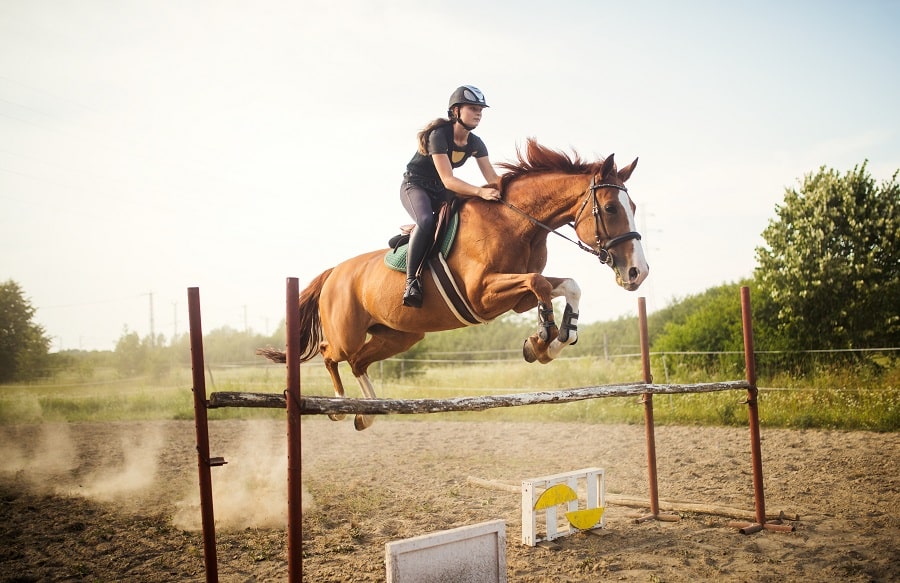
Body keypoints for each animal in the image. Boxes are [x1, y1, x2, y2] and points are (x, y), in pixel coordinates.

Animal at [261, 138, 649, 430]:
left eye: (632, 206)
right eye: (611, 208)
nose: (638, 272)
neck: (516, 224)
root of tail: (334, 272)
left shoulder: (515, 300)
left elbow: (567, 285)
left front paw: (551, 341)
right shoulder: (482, 295)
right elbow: (539, 283)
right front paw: (542, 339)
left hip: (400, 336)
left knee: (358, 362)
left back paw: (369, 412)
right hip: (347, 333)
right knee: (331, 354)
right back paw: (341, 407)